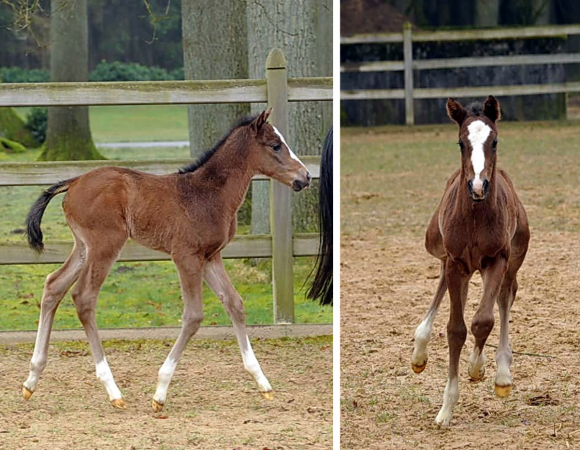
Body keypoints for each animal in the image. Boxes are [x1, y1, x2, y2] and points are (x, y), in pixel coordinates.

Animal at [22, 110, 310, 412]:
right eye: (275, 146)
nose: (305, 177)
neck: (209, 193)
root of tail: (74, 182)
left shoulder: (211, 257)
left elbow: (235, 304)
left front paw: (263, 383)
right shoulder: (186, 256)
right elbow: (193, 316)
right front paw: (160, 392)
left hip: (82, 247)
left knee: (53, 285)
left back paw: (31, 379)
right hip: (105, 244)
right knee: (83, 297)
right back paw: (113, 390)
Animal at [408, 96, 532, 426]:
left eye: (495, 141)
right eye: (461, 143)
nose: (478, 187)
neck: (476, 216)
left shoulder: (497, 260)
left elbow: (483, 321)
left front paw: (478, 368)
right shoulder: (455, 262)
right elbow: (456, 329)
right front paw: (445, 409)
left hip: (514, 256)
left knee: (505, 296)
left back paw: (502, 373)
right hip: (438, 247)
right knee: (444, 282)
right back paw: (419, 350)